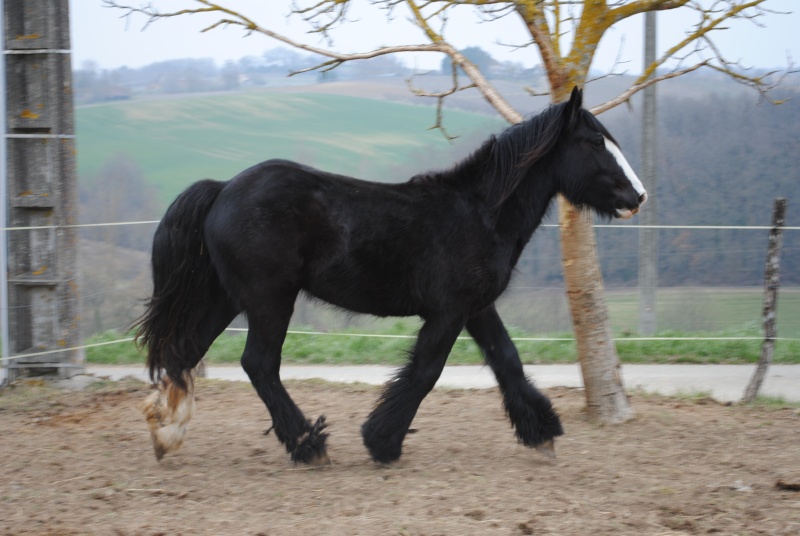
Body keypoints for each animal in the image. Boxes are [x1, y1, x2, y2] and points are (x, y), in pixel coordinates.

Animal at [138, 88, 648, 464]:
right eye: (594, 143)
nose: (638, 196)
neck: (480, 213)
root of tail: (223, 188)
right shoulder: (448, 312)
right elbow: (425, 371)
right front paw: (381, 442)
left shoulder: (477, 308)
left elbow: (507, 360)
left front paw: (542, 433)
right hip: (269, 299)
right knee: (259, 364)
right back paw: (309, 446)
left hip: (227, 297)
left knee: (184, 352)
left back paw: (167, 435)